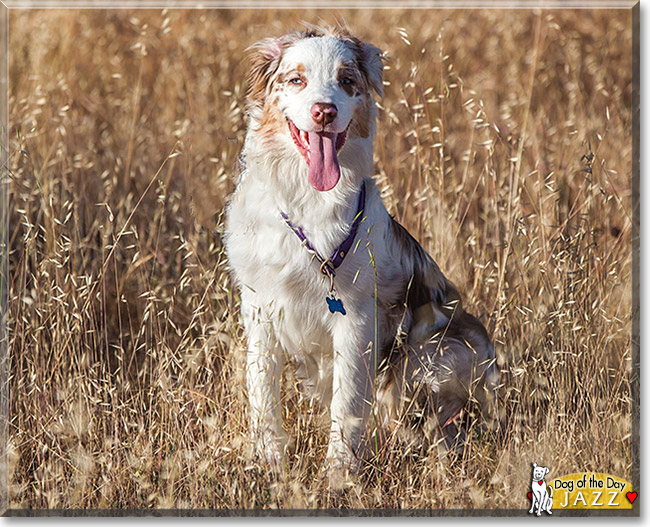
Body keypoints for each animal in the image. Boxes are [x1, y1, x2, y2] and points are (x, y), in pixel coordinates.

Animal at [223, 25, 496, 474]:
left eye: (346, 81)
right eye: (295, 80)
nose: (324, 112)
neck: (308, 201)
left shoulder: (356, 318)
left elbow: (348, 399)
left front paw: (339, 472)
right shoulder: (259, 308)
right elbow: (261, 392)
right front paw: (270, 462)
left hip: (437, 351)